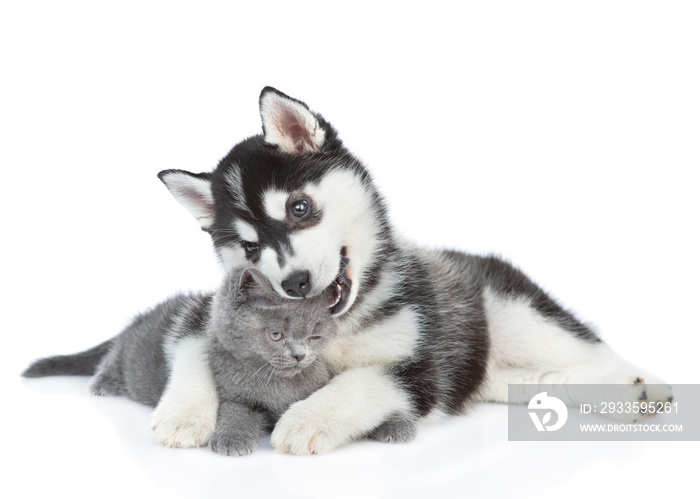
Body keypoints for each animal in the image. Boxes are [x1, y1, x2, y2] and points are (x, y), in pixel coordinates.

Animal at [22, 270, 340, 458]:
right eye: (276, 335)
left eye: (314, 336)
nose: (299, 354)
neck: (276, 379)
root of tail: (143, 316)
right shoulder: (233, 395)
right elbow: (236, 412)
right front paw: (233, 439)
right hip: (131, 349)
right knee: (114, 354)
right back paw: (105, 381)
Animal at [154, 88, 672, 456]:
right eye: (250, 247)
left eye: (299, 208)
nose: (294, 283)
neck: (342, 322)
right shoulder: (210, 311)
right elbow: (192, 347)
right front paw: (183, 415)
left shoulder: (425, 369)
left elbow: (359, 381)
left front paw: (306, 418)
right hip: (492, 375)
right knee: (543, 379)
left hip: (521, 313)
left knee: (592, 351)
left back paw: (643, 389)